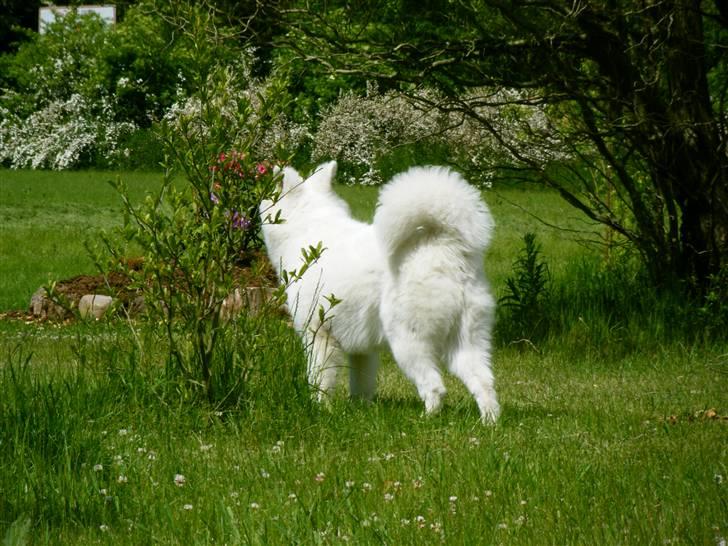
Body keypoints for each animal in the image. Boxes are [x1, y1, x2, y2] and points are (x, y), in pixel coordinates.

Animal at [258, 162, 500, 420]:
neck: (308, 226)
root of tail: (444, 247)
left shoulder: (319, 335)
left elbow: (320, 380)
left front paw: (320, 410)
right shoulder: (362, 350)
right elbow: (361, 384)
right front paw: (359, 409)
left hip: (408, 342)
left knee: (435, 387)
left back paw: (425, 420)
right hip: (466, 341)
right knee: (484, 384)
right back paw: (489, 422)